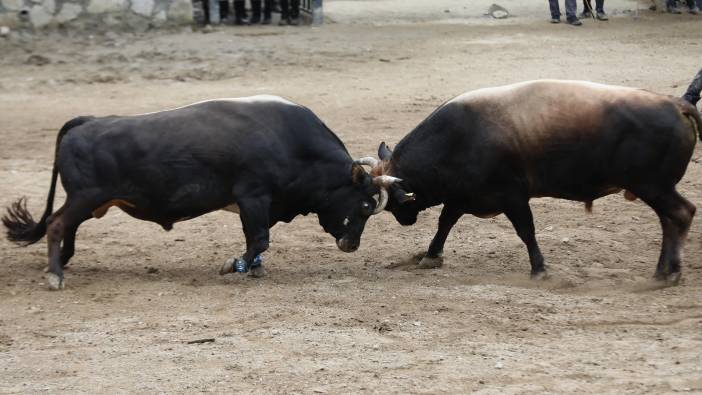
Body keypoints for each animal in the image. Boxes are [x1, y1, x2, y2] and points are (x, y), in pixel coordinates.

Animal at [4, 96, 396, 290]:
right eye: (364, 206)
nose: (351, 245)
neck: (292, 143)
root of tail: (87, 121)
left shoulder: (258, 204)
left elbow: (257, 238)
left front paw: (253, 266)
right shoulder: (253, 196)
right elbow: (259, 238)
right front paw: (236, 264)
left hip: (88, 200)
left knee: (66, 225)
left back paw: (62, 262)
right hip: (86, 196)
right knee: (57, 224)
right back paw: (55, 274)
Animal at [374, 76, 702, 284]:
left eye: (391, 204)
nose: (404, 220)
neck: (459, 138)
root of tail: (675, 104)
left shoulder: (513, 197)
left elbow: (526, 231)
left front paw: (539, 269)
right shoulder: (462, 197)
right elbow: (445, 224)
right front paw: (430, 257)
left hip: (652, 186)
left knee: (681, 214)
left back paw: (672, 273)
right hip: (654, 189)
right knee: (668, 221)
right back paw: (662, 271)